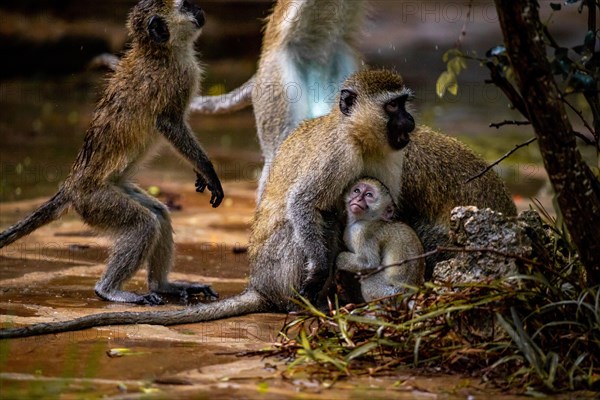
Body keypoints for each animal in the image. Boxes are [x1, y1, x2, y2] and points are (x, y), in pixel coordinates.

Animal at [0, 0, 223, 306]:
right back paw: (108, 290)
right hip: (96, 201)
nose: (200, 10)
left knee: (159, 214)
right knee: (143, 224)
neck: (160, 52)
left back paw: (163, 285)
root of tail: (72, 186)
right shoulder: (177, 79)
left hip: (113, 191)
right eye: (187, 5)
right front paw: (209, 171)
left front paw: (200, 173)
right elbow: (171, 125)